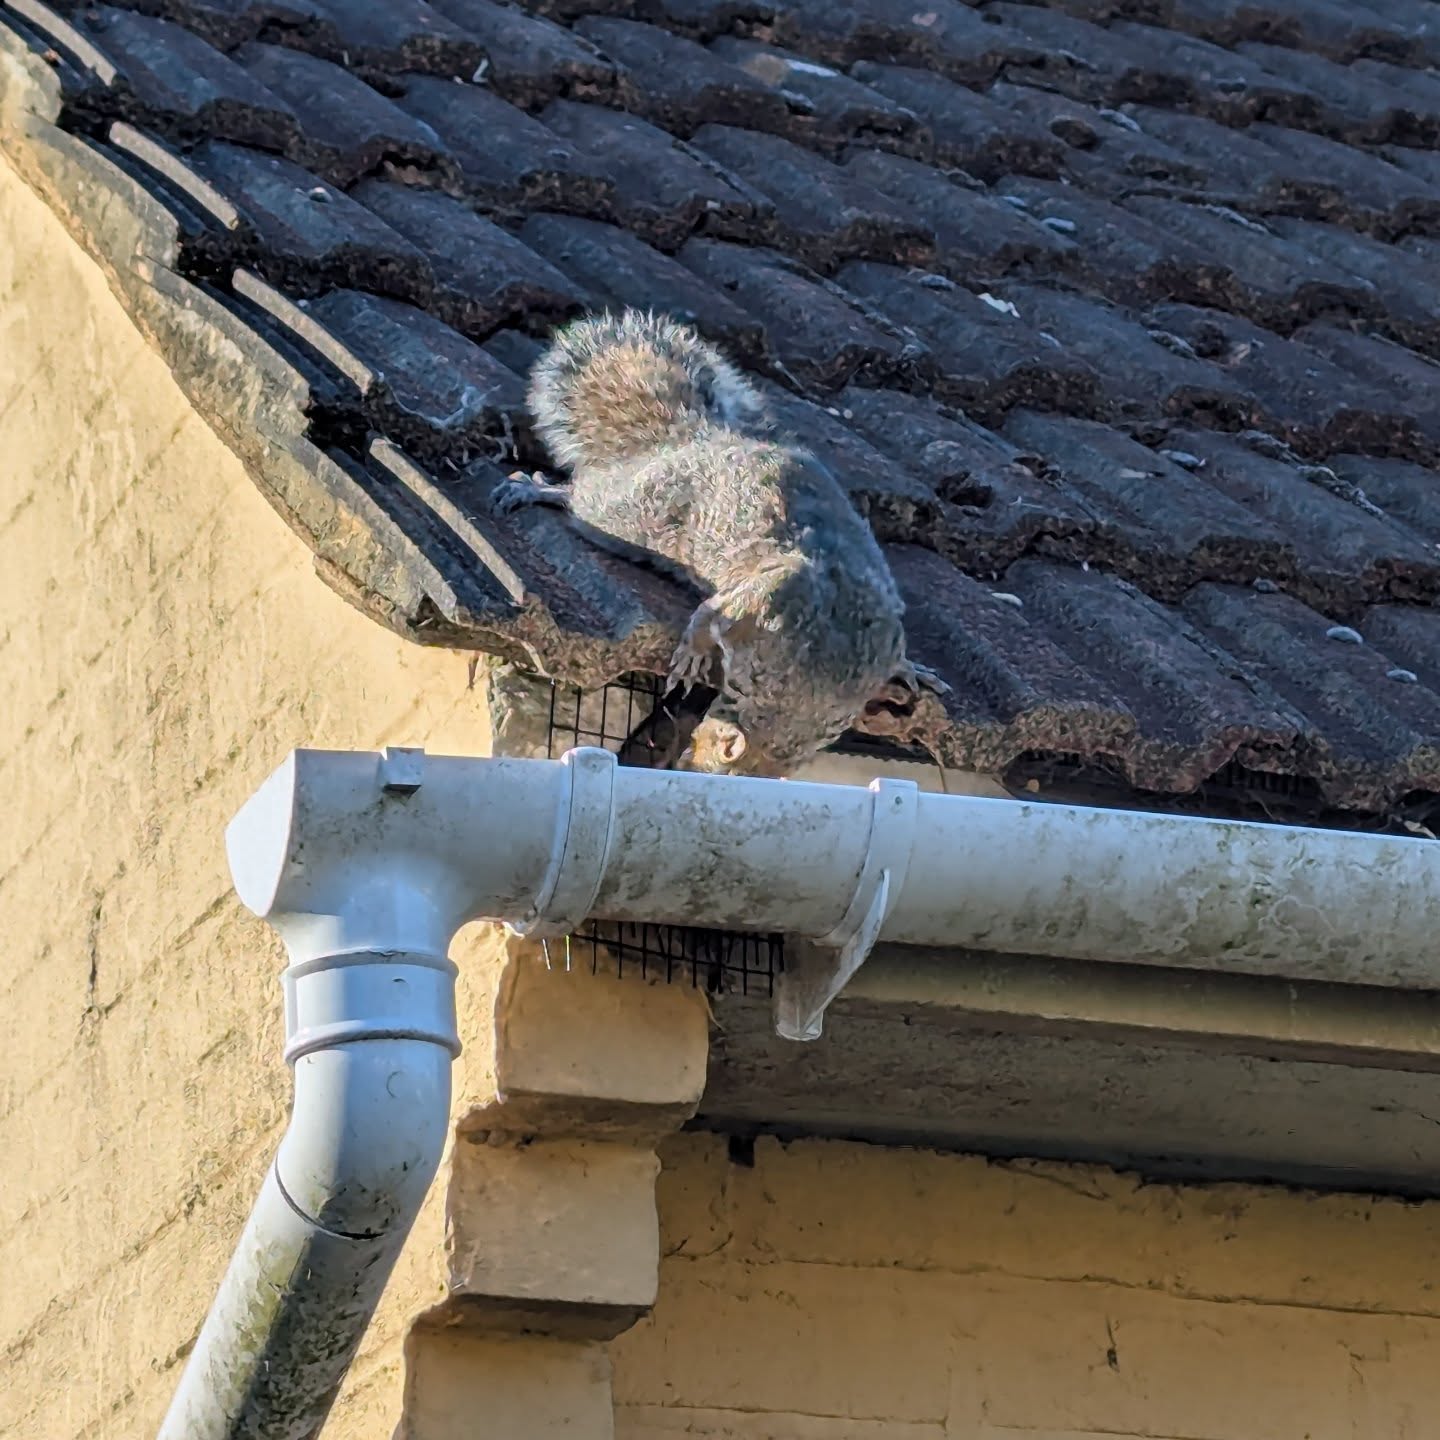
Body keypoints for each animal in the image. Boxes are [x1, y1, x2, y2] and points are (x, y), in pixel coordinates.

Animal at [494, 310, 947, 776]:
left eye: (697, 758)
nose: (679, 761)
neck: (812, 685)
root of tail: (693, 436)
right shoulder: (766, 601)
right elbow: (712, 611)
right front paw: (693, 653)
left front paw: (912, 669)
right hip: (631, 515)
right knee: (584, 497)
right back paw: (539, 489)